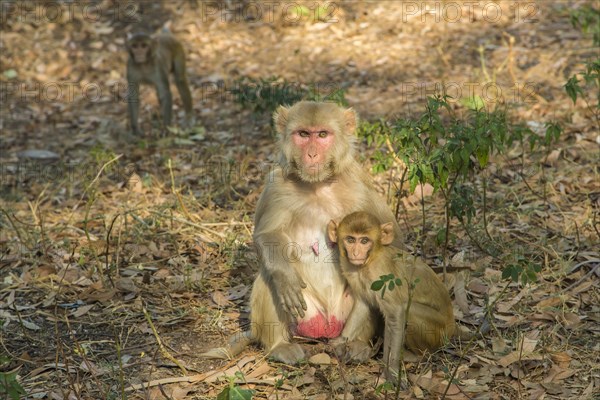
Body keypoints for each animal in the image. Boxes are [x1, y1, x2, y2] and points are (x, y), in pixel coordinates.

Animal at [328, 211, 454, 380]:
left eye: (364, 241)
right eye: (350, 239)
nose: (355, 253)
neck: (369, 261)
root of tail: (453, 326)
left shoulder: (381, 276)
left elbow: (397, 314)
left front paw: (392, 370)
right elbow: (363, 304)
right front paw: (341, 340)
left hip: (439, 332)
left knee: (409, 312)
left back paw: (417, 356)